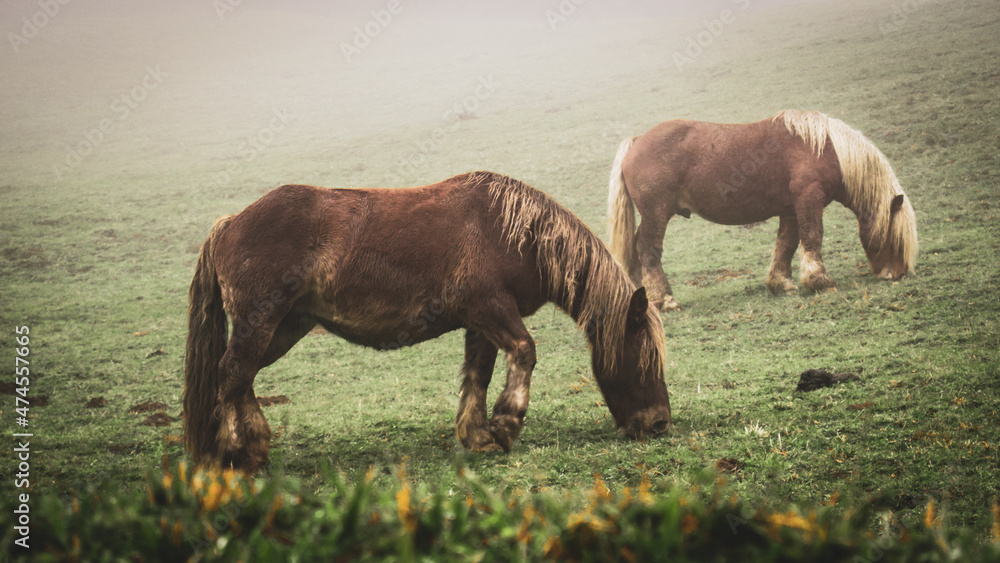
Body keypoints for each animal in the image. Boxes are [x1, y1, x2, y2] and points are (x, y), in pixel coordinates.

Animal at [184, 171, 671, 472]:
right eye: (644, 359)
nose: (660, 424)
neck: (510, 231)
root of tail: (230, 223)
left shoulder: (480, 322)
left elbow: (478, 375)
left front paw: (478, 435)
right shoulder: (491, 308)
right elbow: (525, 352)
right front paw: (506, 424)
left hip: (285, 327)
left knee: (241, 377)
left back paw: (254, 447)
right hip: (261, 321)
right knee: (232, 374)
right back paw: (236, 453)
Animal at [608, 110, 918, 310]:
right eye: (895, 236)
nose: (898, 274)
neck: (825, 149)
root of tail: (637, 141)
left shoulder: (791, 209)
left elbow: (787, 244)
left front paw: (781, 283)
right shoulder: (808, 200)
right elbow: (812, 237)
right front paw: (819, 280)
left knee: (636, 249)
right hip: (657, 213)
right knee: (648, 250)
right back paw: (665, 299)